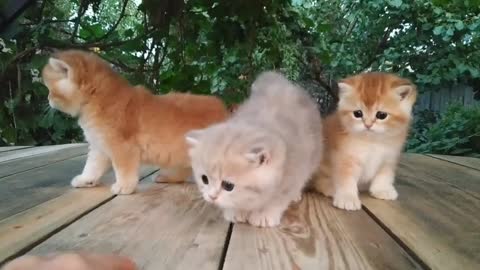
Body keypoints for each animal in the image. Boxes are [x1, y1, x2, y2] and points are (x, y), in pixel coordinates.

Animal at [41, 49, 229, 194]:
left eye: (50, 89)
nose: (47, 98)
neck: (98, 99)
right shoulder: (99, 147)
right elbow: (92, 167)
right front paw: (86, 180)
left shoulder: (122, 148)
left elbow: (123, 170)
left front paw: (124, 186)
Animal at [184, 71, 322, 226]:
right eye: (204, 179)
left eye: (228, 186)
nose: (212, 196)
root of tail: (280, 82)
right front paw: (236, 211)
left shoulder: (293, 175)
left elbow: (277, 200)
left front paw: (264, 215)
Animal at [312, 72, 416, 211]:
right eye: (357, 113)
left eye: (381, 115)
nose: (368, 125)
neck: (372, 142)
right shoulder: (346, 158)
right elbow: (346, 179)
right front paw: (347, 197)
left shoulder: (389, 158)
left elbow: (384, 174)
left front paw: (382, 190)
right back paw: (330, 187)